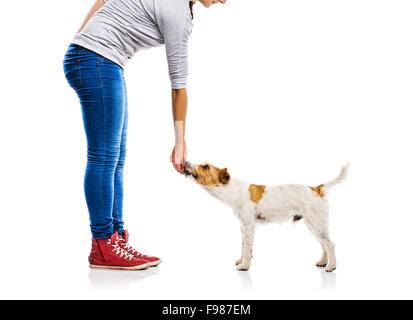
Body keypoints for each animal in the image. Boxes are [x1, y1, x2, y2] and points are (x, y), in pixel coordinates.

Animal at [183, 161, 348, 272]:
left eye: (206, 166)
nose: (185, 162)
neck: (231, 189)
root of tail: (316, 188)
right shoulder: (243, 226)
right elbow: (244, 246)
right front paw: (242, 260)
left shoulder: (248, 226)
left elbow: (247, 247)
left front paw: (244, 265)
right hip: (314, 225)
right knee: (323, 244)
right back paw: (323, 262)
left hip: (316, 223)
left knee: (330, 244)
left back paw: (331, 266)